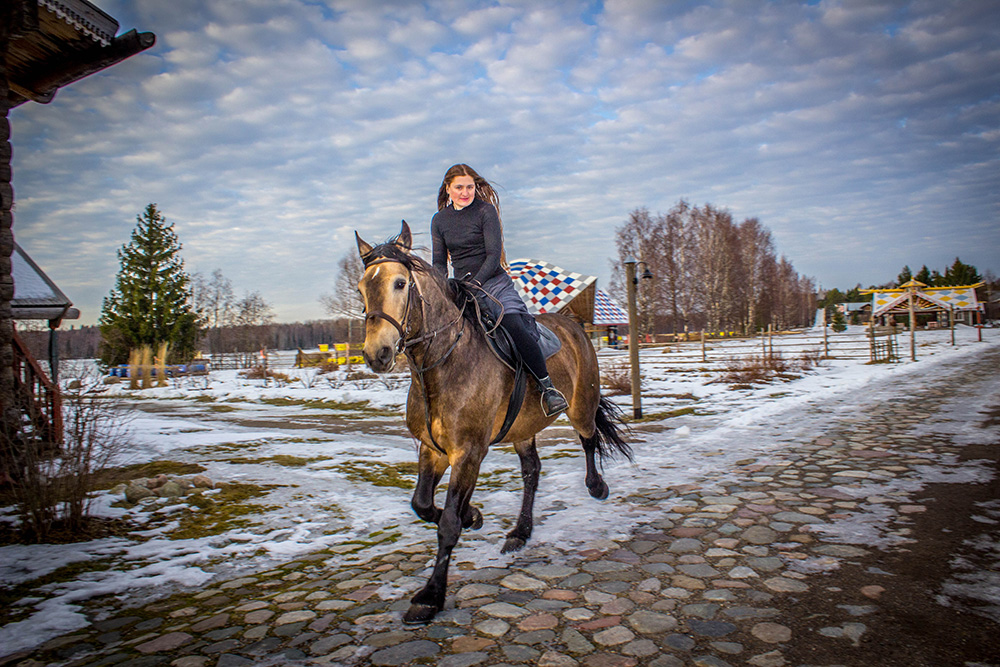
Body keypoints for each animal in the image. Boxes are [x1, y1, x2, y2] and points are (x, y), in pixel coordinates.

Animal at [356, 222, 628, 624]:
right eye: (362, 288)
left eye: (400, 284)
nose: (378, 354)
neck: (442, 364)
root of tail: (575, 325)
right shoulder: (433, 450)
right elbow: (422, 504)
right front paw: (474, 515)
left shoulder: (469, 452)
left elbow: (447, 525)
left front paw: (430, 597)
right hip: (522, 428)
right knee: (532, 471)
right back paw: (520, 532)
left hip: (581, 405)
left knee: (589, 438)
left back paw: (596, 487)